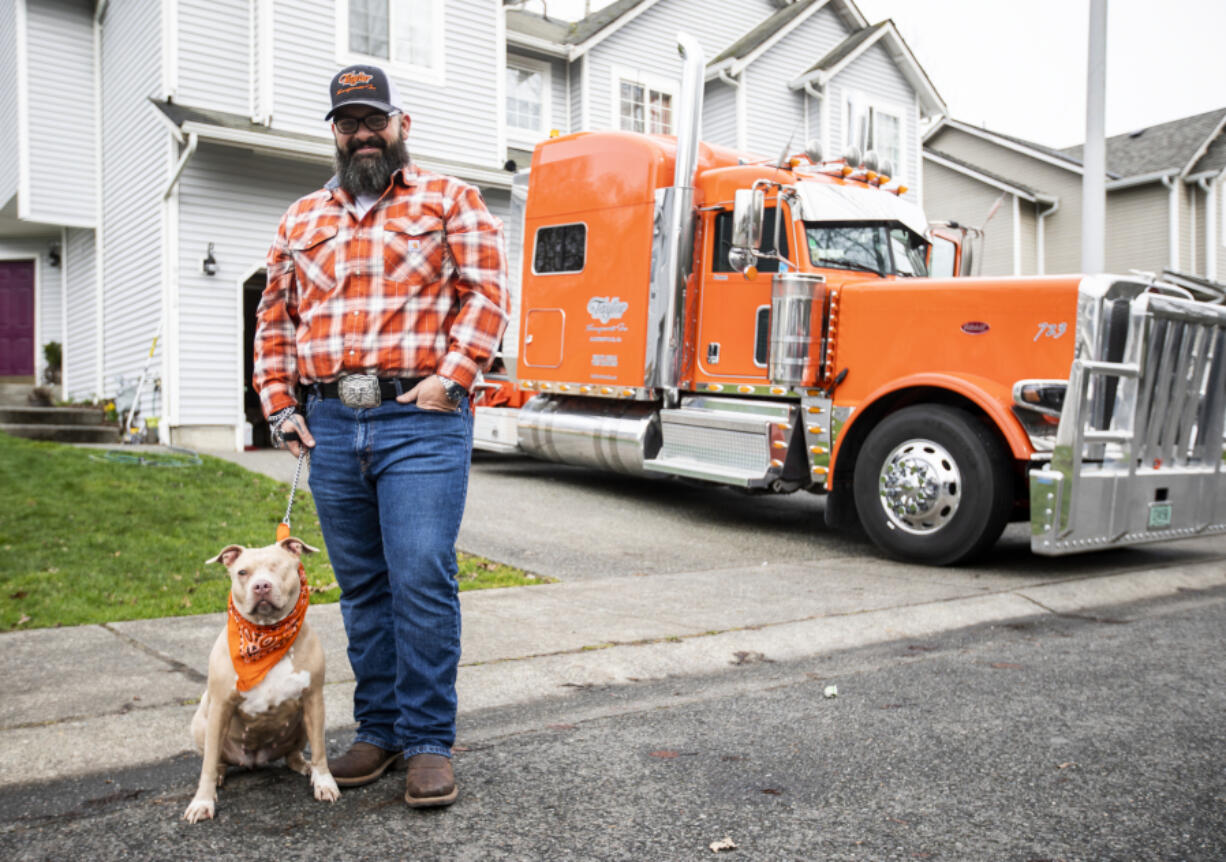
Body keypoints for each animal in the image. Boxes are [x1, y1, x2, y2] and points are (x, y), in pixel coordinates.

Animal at [181, 537, 338, 823]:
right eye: (243, 572)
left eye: (279, 567)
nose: (261, 585)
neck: (266, 636)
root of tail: (254, 760)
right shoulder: (220, 705)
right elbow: (207, 764)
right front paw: (202, 801)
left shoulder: (314, 699)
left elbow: (321, 750)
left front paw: (324, 782)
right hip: (201, 724)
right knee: (216, 759)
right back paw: (219, 774)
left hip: (302, 723)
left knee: (292, 754)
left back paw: (305, 766)